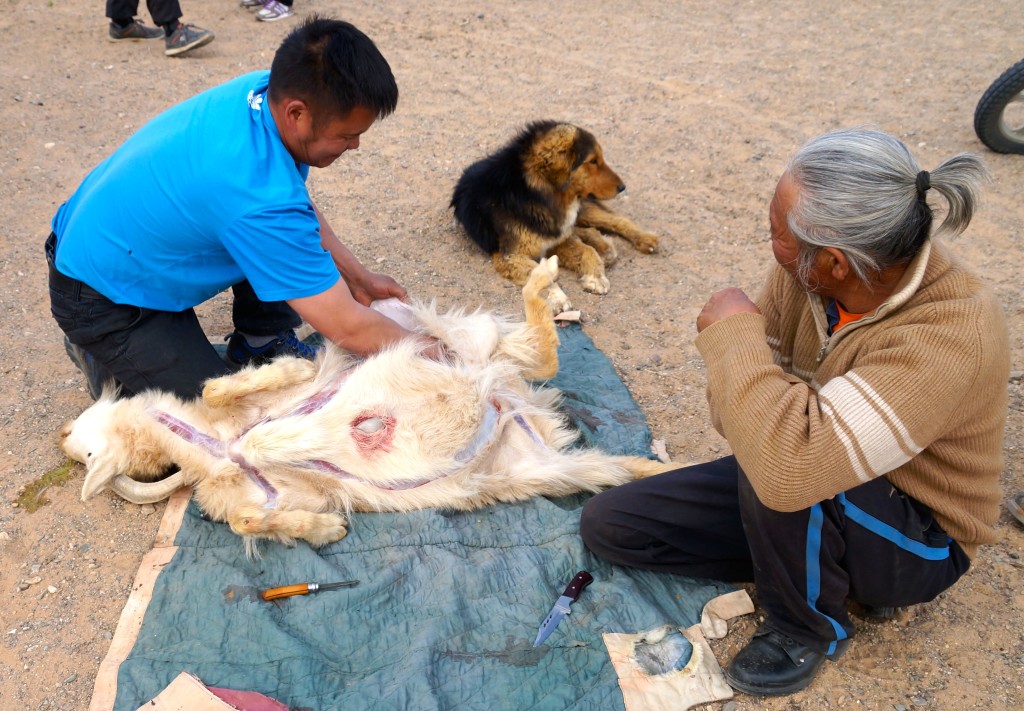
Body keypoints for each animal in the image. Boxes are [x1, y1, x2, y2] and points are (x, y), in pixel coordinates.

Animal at [59, 259, 667, 553]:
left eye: (84, 456)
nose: (63, 434)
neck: (215, 449)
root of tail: (512, 398)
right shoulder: (276, 492)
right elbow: (250, 519)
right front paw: (324, 531)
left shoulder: (263, 406)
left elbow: (227, 392)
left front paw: (289, 386)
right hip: (544, 469)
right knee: (565, 396)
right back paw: (662, 467)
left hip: (461, 338)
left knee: (540, 349)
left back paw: (545, 276)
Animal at [452, 121, 659, 313]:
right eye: (592, 161)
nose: (623, 187)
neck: (534, 193)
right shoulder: (511, 255)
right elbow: (541, 271)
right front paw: (559, 298)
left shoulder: (554, 240)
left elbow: (587, 250)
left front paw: (596, 277)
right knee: (585, 229)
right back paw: (604, 246)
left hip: (583, 208)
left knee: (615, 219)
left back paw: (645, 239)